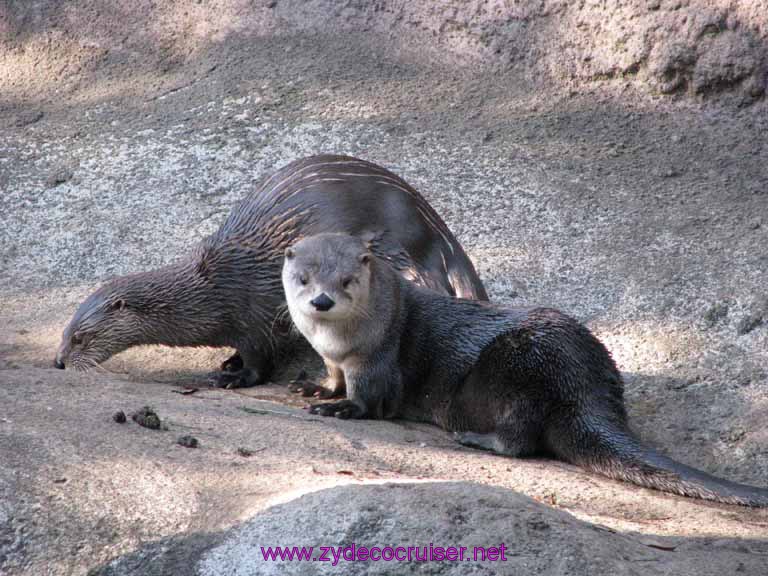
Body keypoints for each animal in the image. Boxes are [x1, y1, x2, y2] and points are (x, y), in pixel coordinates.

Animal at [55, 153, 486, 390]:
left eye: (80, 337)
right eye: (65, 332)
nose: (58, 362)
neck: (215, 288)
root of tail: (435, 226)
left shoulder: (255, 313)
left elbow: (261, 358)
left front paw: (233, 377)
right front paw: (229, 362)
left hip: (391, 248)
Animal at [284, 232, 768, 506]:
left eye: (347, 280)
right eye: (304, 278)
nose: (321, 300)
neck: (341, 343)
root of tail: (588, 384)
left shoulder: (378, 357)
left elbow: (371, 397)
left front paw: (343, 409)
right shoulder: (335, 359)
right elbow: (333, 377)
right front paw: (318, 389)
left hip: (521, 364)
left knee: (521, 436)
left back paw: (476, 438)